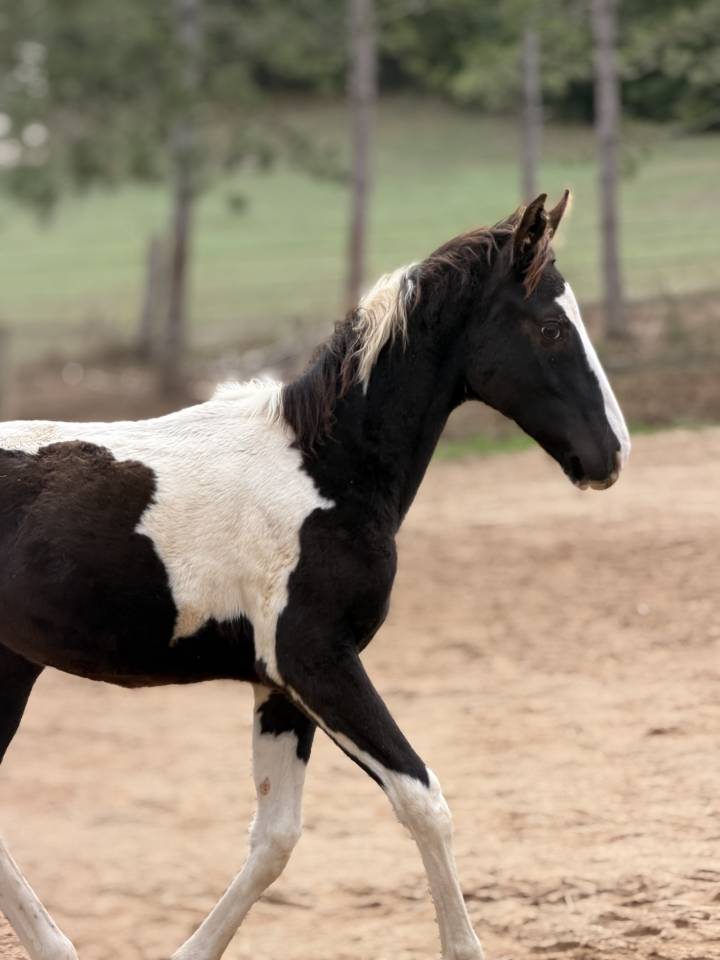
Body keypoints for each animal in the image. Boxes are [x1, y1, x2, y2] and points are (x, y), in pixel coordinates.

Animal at [0, 191, 630, 960]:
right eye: (549, 326)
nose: (611, 455)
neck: (324, 470)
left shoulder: (279, 687)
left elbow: (275, 839)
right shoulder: (317, 662)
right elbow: (423, 801)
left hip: (9, 667)